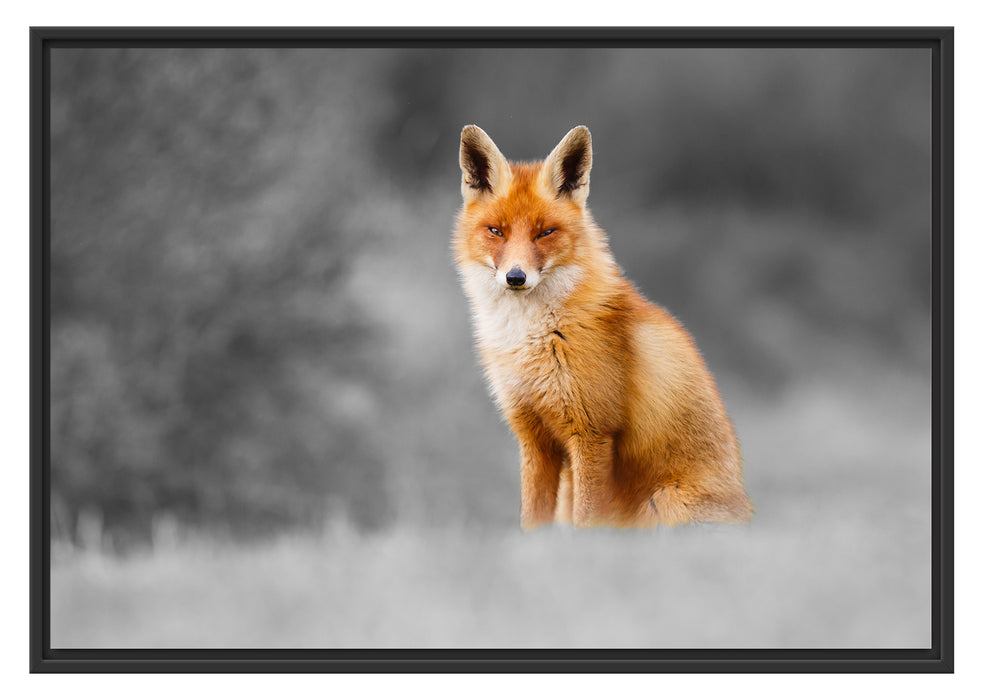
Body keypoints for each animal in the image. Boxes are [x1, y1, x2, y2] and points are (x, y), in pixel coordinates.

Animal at [453, 125, 752, 530]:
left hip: (662, 504)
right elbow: (531, 521)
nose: (516, 277)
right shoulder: (533, 437)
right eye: (496, 231)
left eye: (545, 233)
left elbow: (587, 522)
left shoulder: (592, 433)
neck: (532, 339)